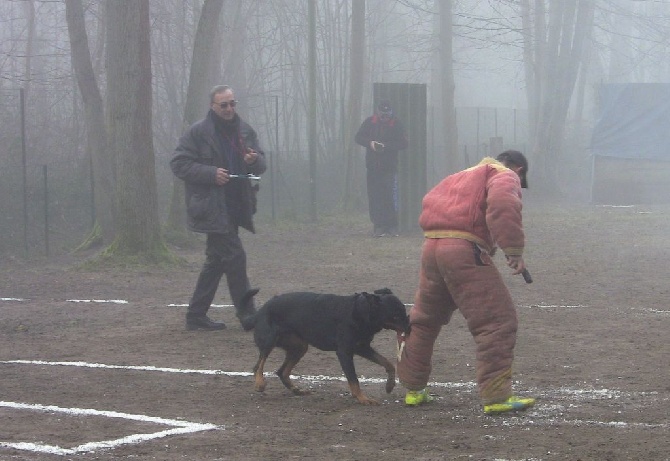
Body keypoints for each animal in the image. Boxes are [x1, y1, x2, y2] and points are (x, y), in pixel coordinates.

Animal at [242, 290, 410, 404]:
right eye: (395, 316)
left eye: (404, 311)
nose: (409, 328)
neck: (361, 312)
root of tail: (259, 311)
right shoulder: (344, 352)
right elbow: (354, 379)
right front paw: (362, 398)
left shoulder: (362, 348)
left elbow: (388, 363)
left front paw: (389, 385)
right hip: (269, 339)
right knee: (258, 365)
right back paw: (259, 383)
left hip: (299, 347)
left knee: (282, 371)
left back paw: (297, 390)